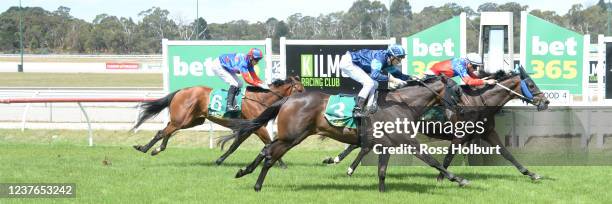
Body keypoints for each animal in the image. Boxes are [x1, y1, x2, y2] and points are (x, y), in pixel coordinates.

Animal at [131, 76, 304, 166]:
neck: (260, 98)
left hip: (191, 121)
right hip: (182, 120)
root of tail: (181, 91)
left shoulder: (250, 128)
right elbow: (268, 143)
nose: (305, 100)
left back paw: (157, 149)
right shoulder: (258, 127)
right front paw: (281, 164)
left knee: (168, 129)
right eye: (300, 89)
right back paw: (144, 148)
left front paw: (219, 160)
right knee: (162, 131)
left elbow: (234, 146)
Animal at [222, 76, 476, 191]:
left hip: (292, 136)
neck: (402, 104)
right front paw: (459, 179)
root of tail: (289, 98)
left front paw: (382, 191)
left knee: (267, 150)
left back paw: (244, 172)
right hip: (291, 137)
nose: (465, 110)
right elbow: (432, 160)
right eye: (457, 90)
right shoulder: (407, 141)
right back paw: (256, 184)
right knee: (270, 155)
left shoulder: (386, 144)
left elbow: (382, 170)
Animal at [326, 66, 548, 182]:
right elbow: (448, 157)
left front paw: (531, 173)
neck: (478, 102)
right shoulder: (460, 136)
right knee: (361, 144)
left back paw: (340, 163)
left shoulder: (488, 132)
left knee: (363, 145)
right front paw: (443, 177)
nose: (545, 102)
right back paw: (338, 161)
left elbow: (508, 154)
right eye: (531, 85)